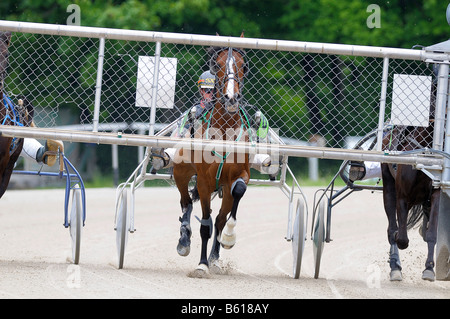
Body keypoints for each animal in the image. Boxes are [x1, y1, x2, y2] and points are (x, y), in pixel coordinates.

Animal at [173, 33, 251, 278]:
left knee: (219, 218)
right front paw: (201, 264)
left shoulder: (239, 175)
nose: (231, 98)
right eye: (217, 64)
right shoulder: (205, 182)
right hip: (180, 171)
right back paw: (184, 240)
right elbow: (205, 225)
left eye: (243, 65)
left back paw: (216, 257)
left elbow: (236, 194)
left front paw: (228, 239)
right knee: (186, 202)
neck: (224, 133)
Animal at [380, 73, 440, 282]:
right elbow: (401, 237)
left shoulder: (435, 194)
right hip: (388, 188)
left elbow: (431, 234)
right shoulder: (402, 197)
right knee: (391, 228)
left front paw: (429, 268)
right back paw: (395, 267)